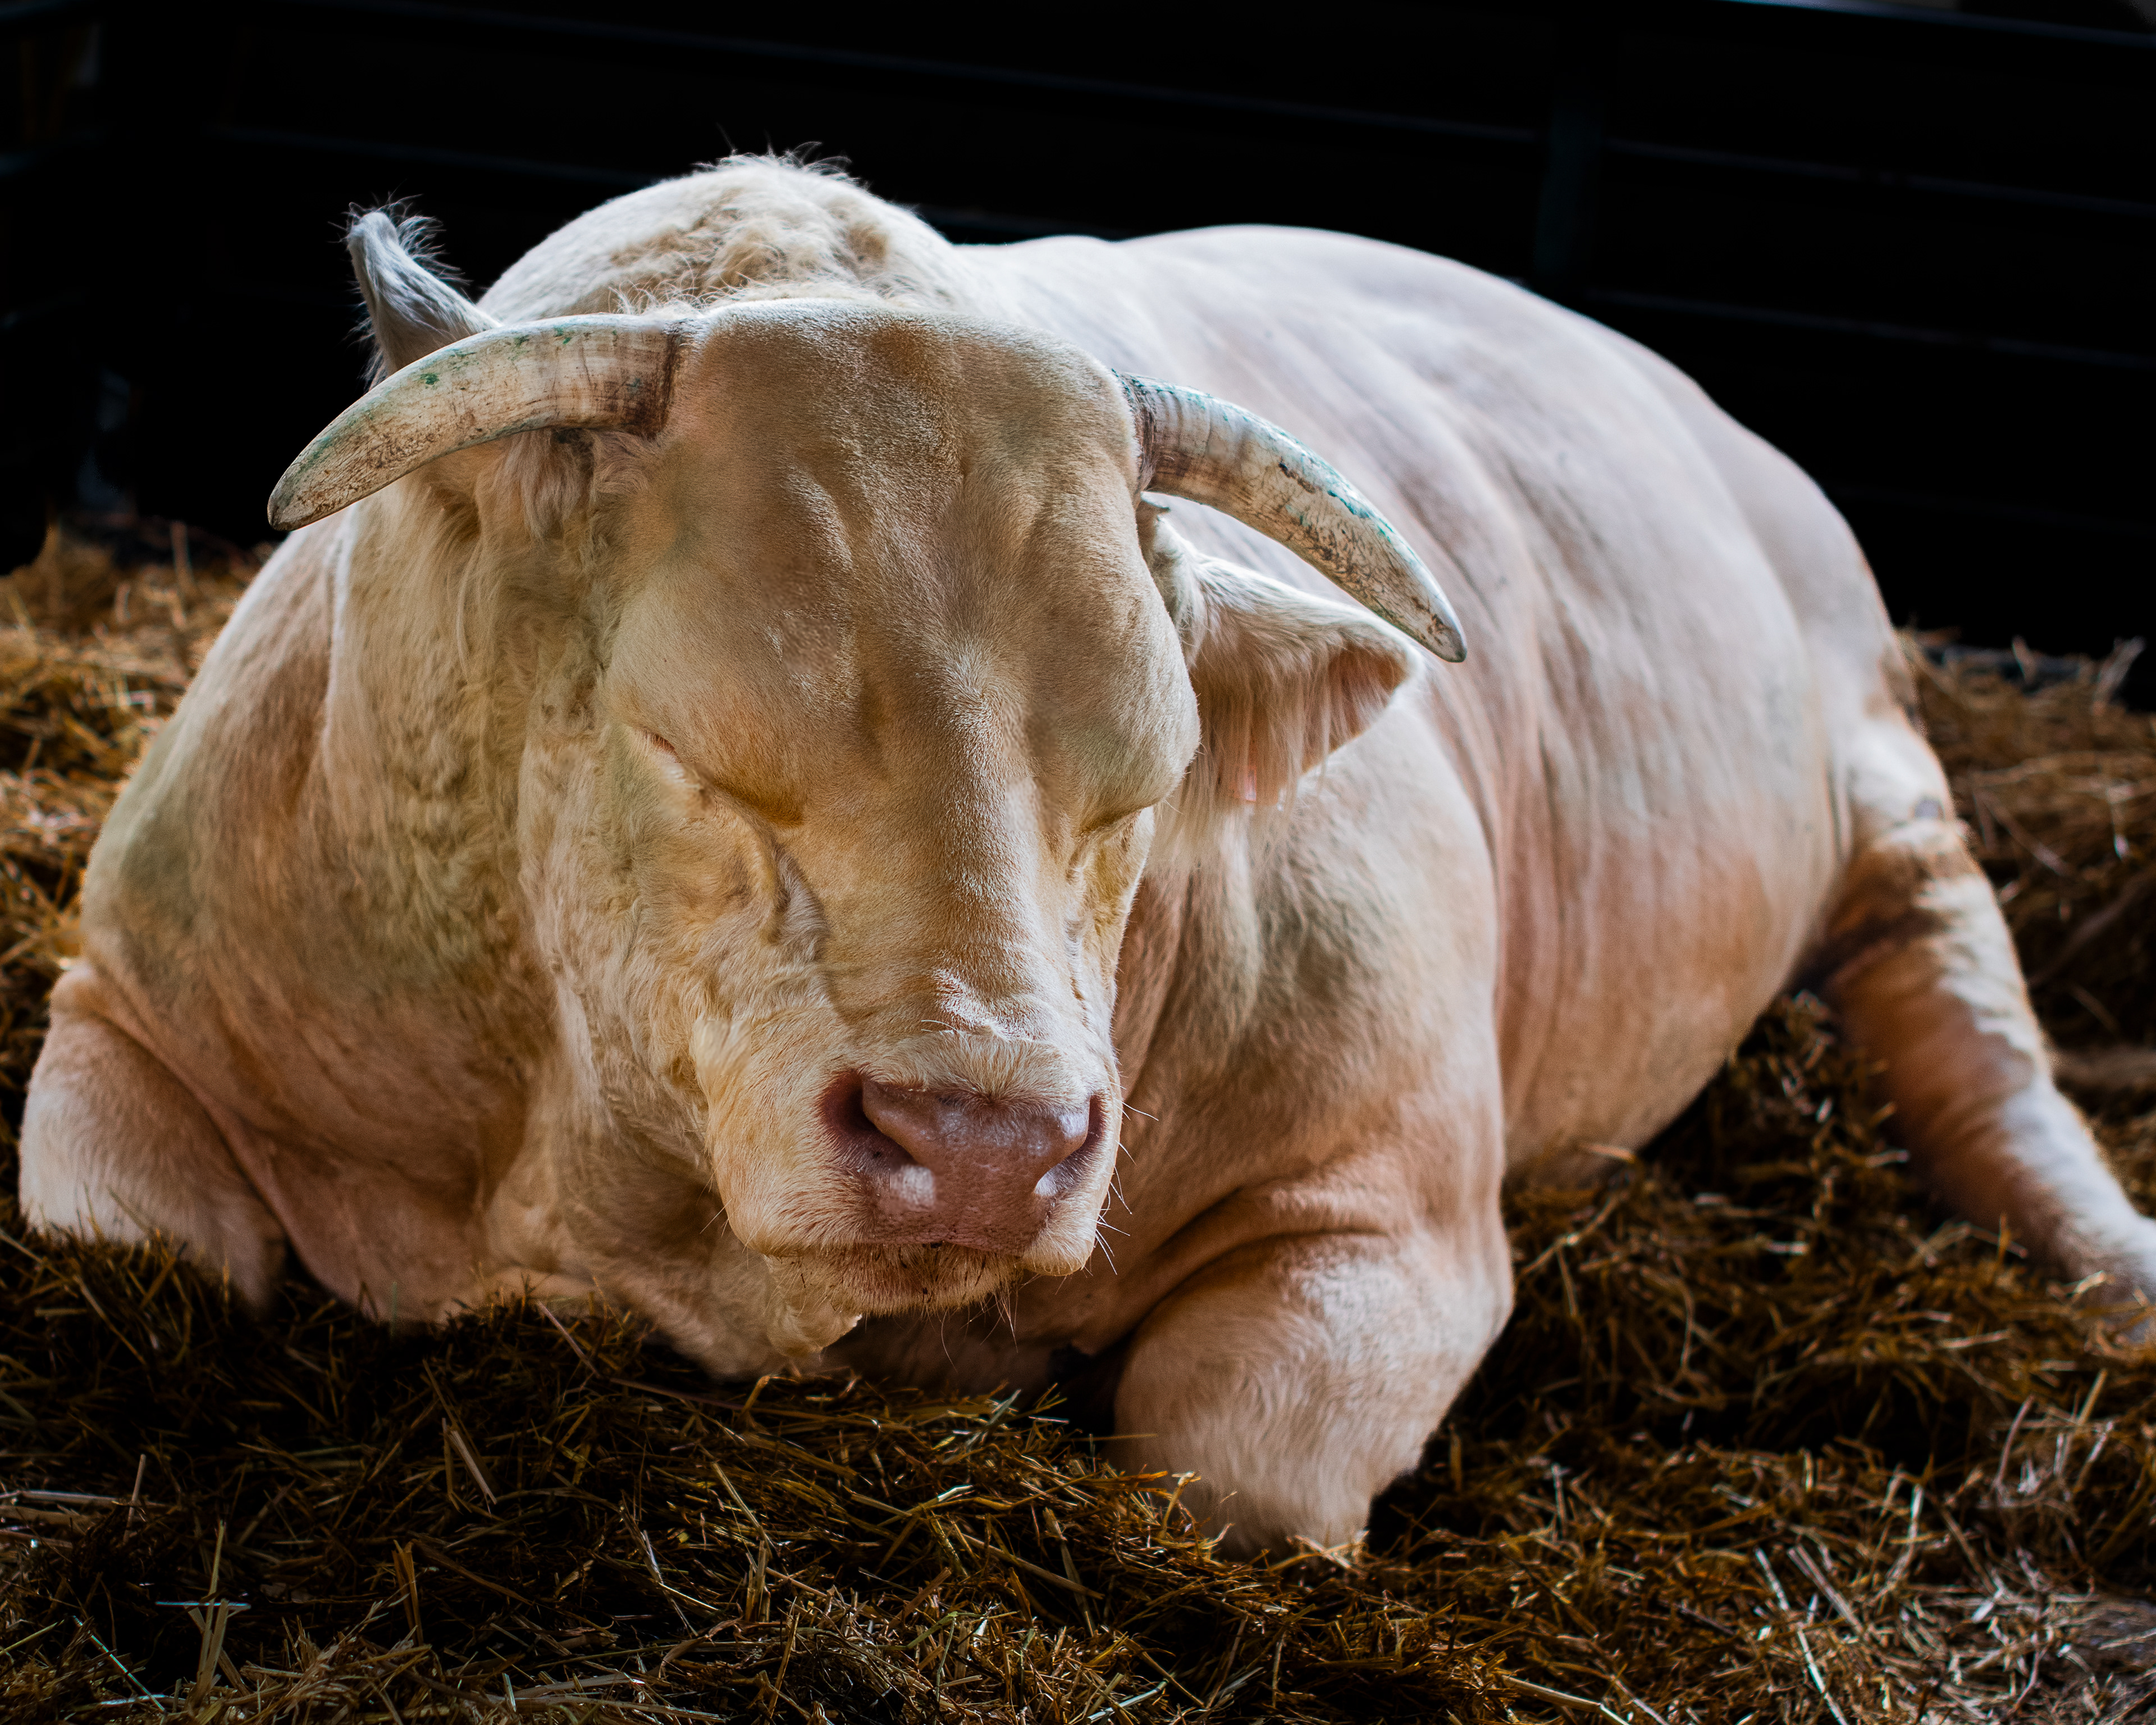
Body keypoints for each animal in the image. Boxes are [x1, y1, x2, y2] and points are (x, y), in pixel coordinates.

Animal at [20, 158, 2156, 1554]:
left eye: (1142, 781)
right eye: (689, 741)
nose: (985, 1141)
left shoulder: (1394, 1208)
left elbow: (1218, 1476)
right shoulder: (136, 1005)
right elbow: (123, 1243)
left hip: (1894, 795)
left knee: (1974, 1036)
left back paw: (2114, 1265)